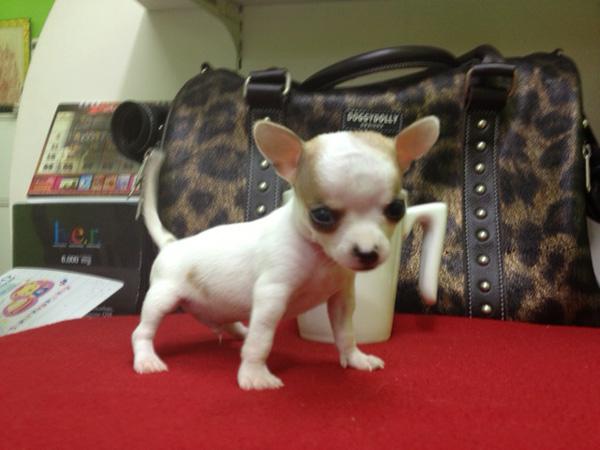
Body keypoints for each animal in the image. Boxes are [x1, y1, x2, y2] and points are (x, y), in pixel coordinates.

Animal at [131, 116, 440, 390]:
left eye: (396, 209)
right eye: (321, 215)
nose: (367, 252)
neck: (318, 255)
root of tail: (172, 243)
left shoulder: (341, 299)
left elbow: (345, 333)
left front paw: (355, 358)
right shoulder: (271, 296)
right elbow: (261, 340)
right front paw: (254, 375)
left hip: (215, 304)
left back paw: (239, 331)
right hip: (162, 297)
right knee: (142, 331)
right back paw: (147, 358)